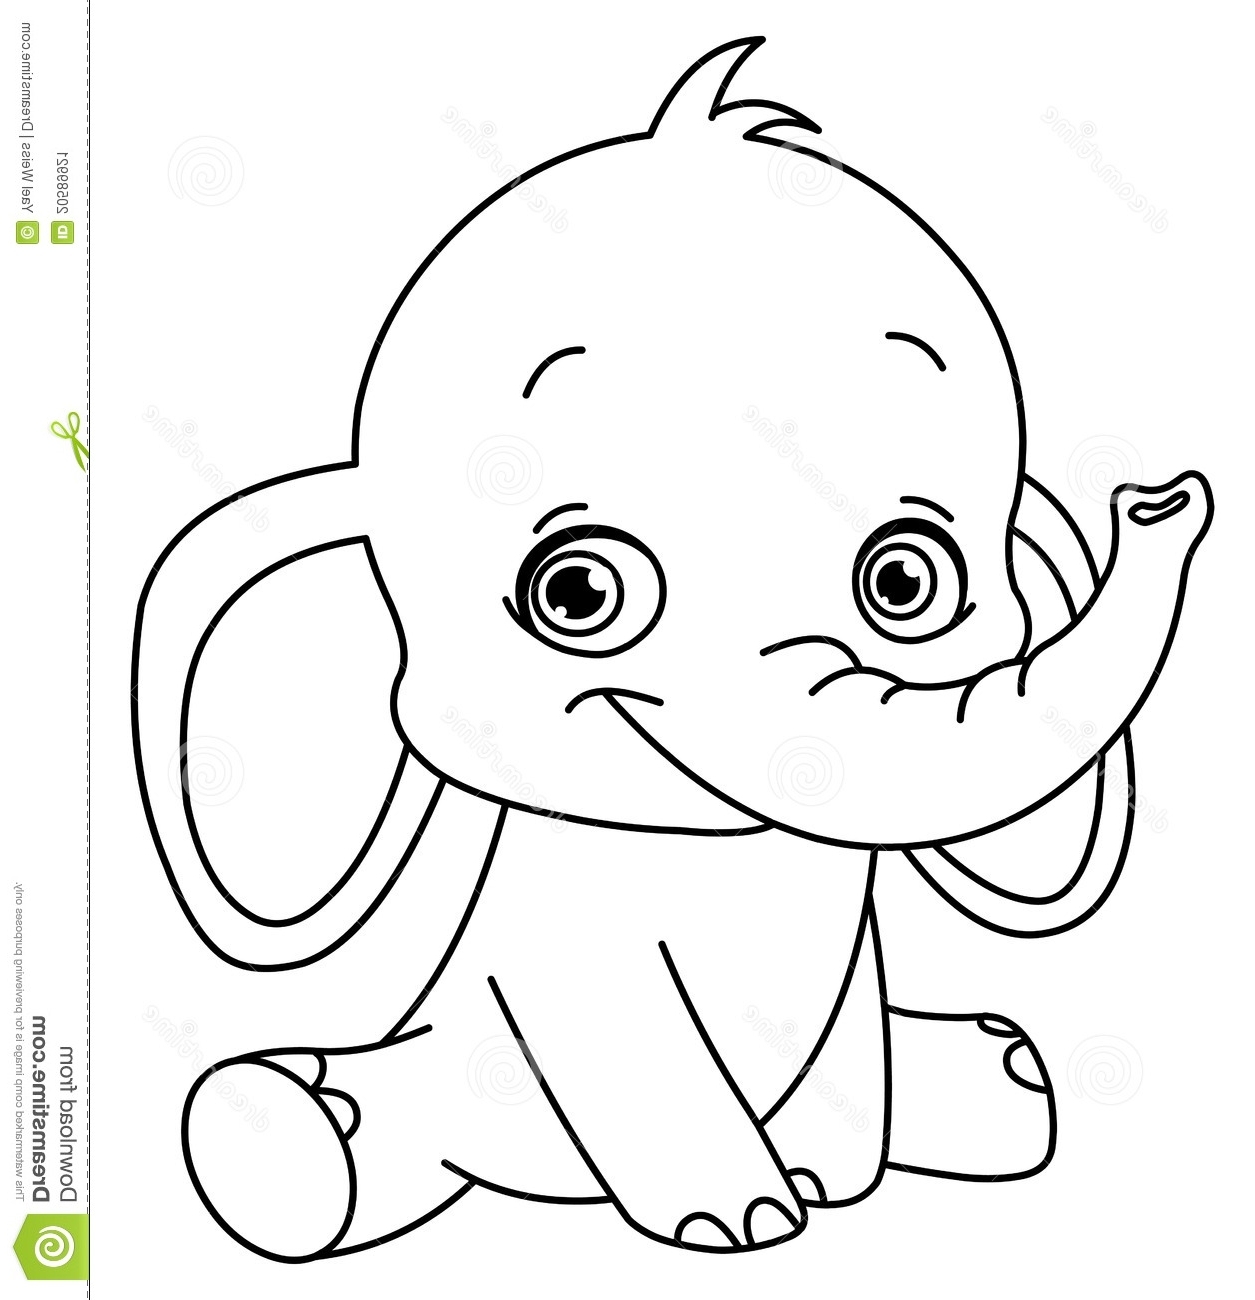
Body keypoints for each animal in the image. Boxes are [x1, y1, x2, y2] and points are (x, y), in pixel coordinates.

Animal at [132, 38, 1213, 1257]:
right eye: (577, 592)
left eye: (905, 582)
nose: (1159, 503)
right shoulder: (568, 932)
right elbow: (621, 1026)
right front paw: (741, 1218)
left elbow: (853, 1026)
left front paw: (827, 1179)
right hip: (446, 1091)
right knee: (336, 1131)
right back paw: (292, 1119)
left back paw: (1004, 1067)